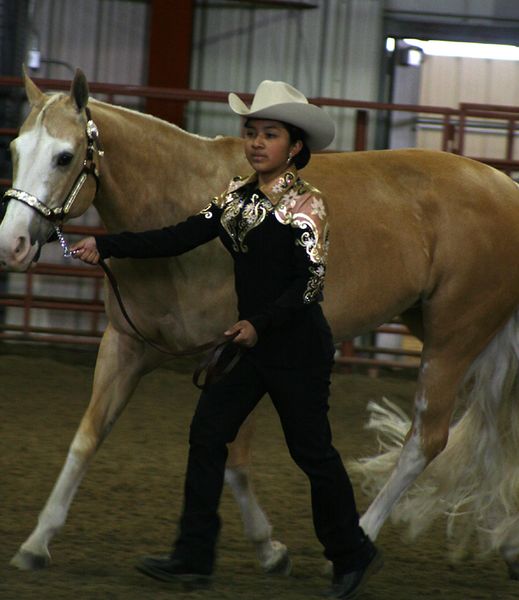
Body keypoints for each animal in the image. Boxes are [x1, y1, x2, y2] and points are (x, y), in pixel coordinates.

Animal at [3, 69, 519, 576]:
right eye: (15, 149)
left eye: (65, 156)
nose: (13, 244)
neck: (175, 200)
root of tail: (506, 188)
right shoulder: (124, 346)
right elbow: (86, 439)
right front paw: (36, 542)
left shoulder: (231, 355)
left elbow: (233, 459)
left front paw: (268, 549)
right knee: (495, 433)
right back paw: (507, 545)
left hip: (453, 338)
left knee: (426, 441)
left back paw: (362, 539)